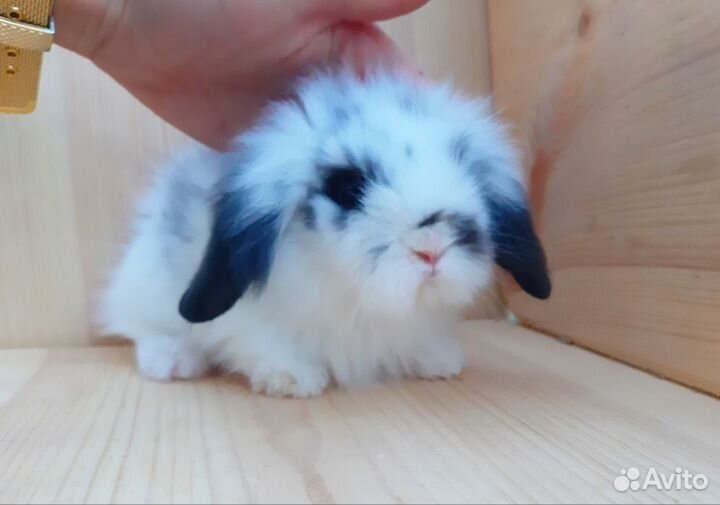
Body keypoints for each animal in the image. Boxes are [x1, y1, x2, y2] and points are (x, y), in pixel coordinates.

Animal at [99, 67, 551, 398]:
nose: (432, 250)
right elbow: (264, 342)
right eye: (347, 187)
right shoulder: (251, 322)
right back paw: (171, 362)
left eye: (467, 169)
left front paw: (441, 363)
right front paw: (295, 381)